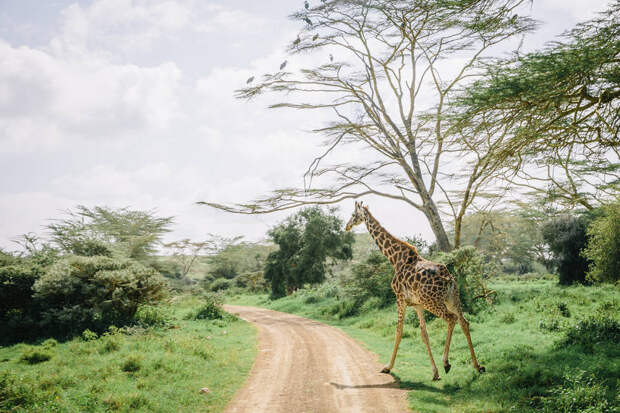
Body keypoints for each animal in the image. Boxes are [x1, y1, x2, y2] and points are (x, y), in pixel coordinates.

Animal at [344, 200, 484, 380]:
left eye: (353, 215)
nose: (347, 226)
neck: (394, 258)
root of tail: (448, 279)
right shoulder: (417, 304)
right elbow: (424, 335)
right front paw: (435, 373)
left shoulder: (400, 298)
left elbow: (399, 331)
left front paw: (388, 367)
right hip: (452, 299)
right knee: (464, 322)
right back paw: (477, 366)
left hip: (433, 302)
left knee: (451, 319)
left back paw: (446, 362)